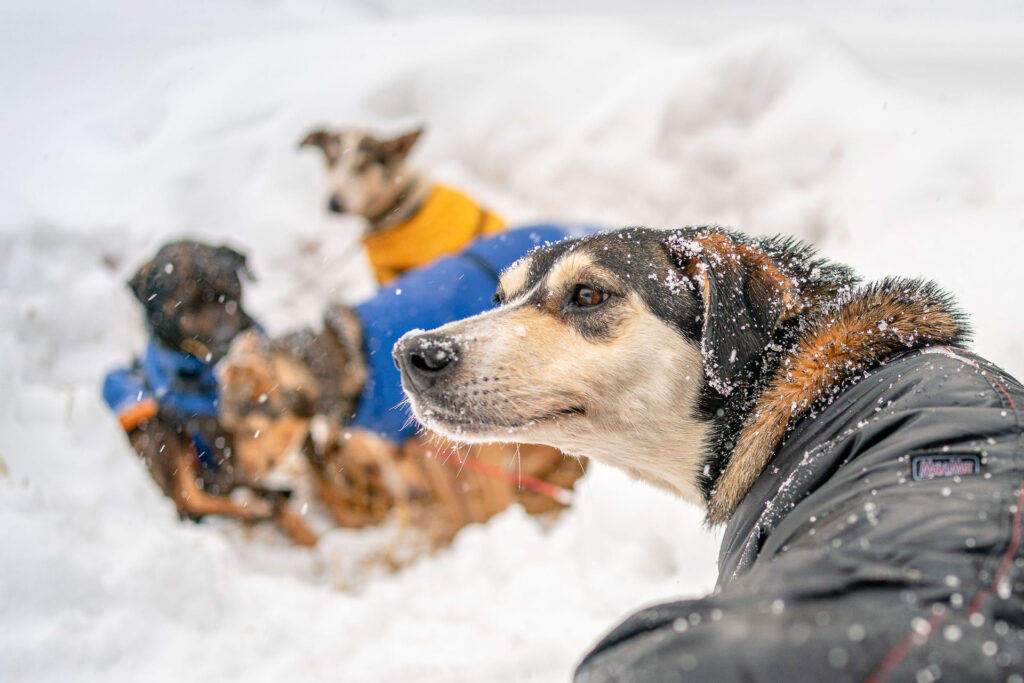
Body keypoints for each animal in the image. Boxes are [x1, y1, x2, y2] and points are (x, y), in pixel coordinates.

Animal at [102, 240, 315, 544]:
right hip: (157, 430)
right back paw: (260, 506)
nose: (229, 339)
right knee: (191, 499)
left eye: (230, 291)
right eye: (184, 305)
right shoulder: (226, 452)